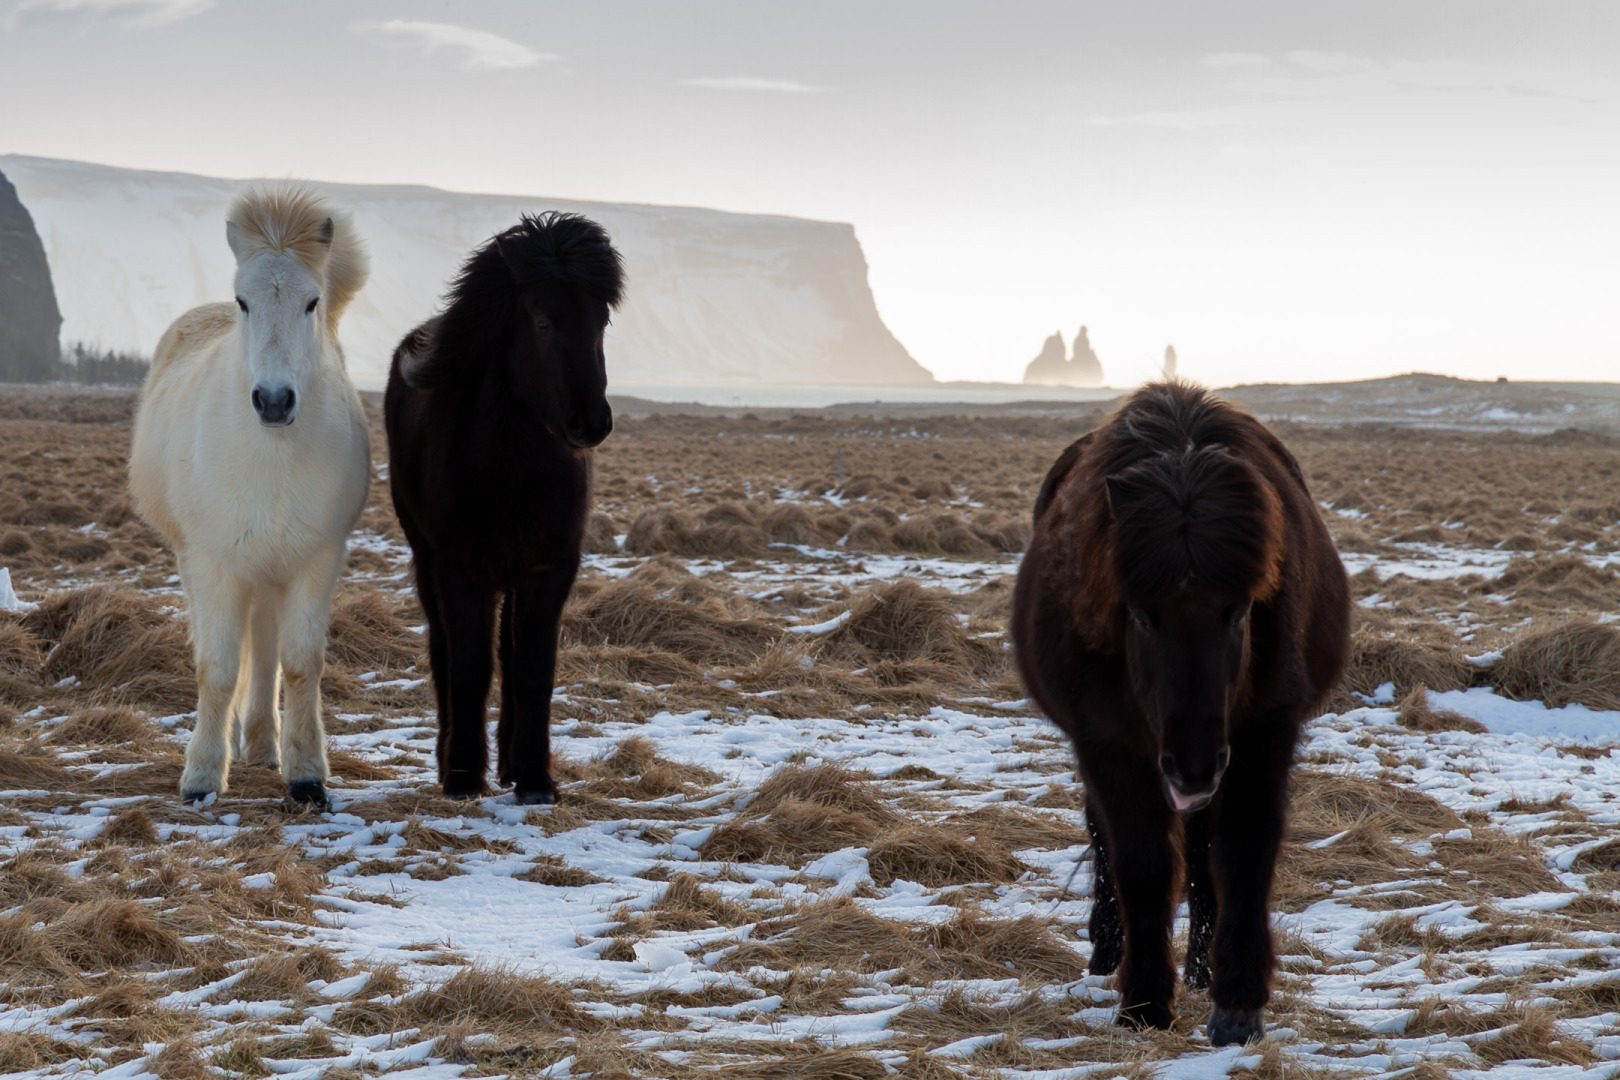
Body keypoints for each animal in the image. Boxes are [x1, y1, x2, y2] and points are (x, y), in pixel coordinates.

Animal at [129, 189, 371, 808]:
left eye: (312, 302)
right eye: (243, 301)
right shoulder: (215, 563)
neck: (273, 455)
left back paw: (263, 745)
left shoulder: (315, 561)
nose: (274, 400)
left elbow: (300, 665)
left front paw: (306, 774)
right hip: (201, 563)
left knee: (263, 652)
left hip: (269, 568)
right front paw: (201, 776)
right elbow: (216, 668)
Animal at [384, 212, 623, 803]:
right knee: (443, 652)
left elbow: (533, 669)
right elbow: (469, 668)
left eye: (601, 320)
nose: (591, 423)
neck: (512, 467)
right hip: (428, 563)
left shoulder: (549, 568)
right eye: (541, 321)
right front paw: (464, 776)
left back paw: (513, 766)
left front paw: (536, 778)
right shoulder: (459, 571)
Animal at [1011, 381, 1349, 1046]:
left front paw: (1237, 1003)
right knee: (1106, 835)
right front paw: (1143, 1002)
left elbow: (1243, 852)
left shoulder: (1262, 736)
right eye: (1142, 615)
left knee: (1200, 848)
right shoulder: (1108, 746)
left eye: (1239, 610)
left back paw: (1199, 967)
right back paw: (1108, 950)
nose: (1193, 765)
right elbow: (1140, 863)